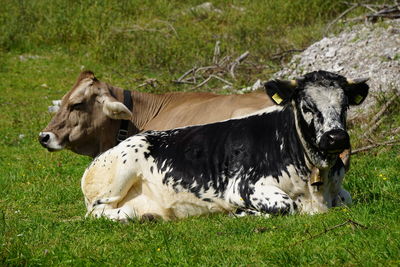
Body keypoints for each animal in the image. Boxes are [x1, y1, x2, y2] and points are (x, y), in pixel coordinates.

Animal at [82, 70, 368, 222]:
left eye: (345, 105)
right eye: (307, 106)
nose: (336, 137)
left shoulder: (340, 194)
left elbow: (347, 198)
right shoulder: (243, 187)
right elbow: (287, 205)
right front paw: (242, 214)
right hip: (119, 174)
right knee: (98, 211)